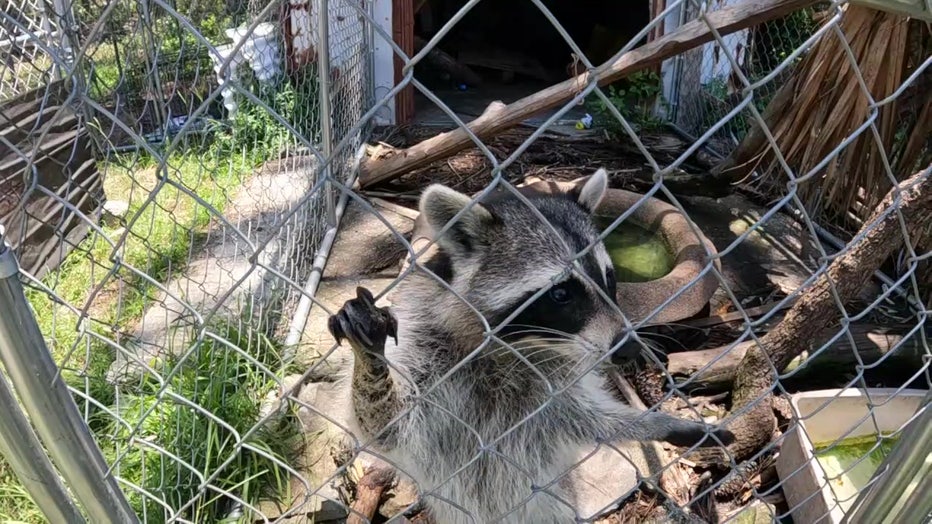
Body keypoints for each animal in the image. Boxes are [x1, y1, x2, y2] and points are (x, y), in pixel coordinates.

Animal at [330, 170, 736, 520]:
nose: (628, 349)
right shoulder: (426, 346)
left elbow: (592, 419)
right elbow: (386, 425)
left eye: (609, 278)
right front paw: (370, 361)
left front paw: (655, 423)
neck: (516, 348)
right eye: (561, 294)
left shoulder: (556, 389)